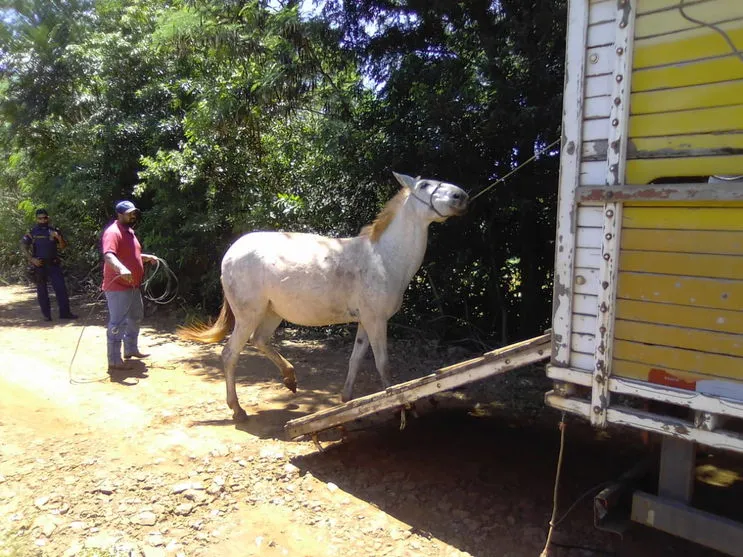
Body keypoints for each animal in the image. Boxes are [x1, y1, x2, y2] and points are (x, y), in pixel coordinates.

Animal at [180, 172, 468, 420]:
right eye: (424, 185)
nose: (461, 196)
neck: (383, 258)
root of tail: (230, 253)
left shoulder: (366, 321)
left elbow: (355, 359)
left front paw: (346, 400)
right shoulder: (376, 321)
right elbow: (383, 364)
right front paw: (402, 405)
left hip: (272, 313)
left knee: (259, 340)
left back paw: (290, 378)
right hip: (248, 315)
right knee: (230, 354)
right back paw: (238, 410)